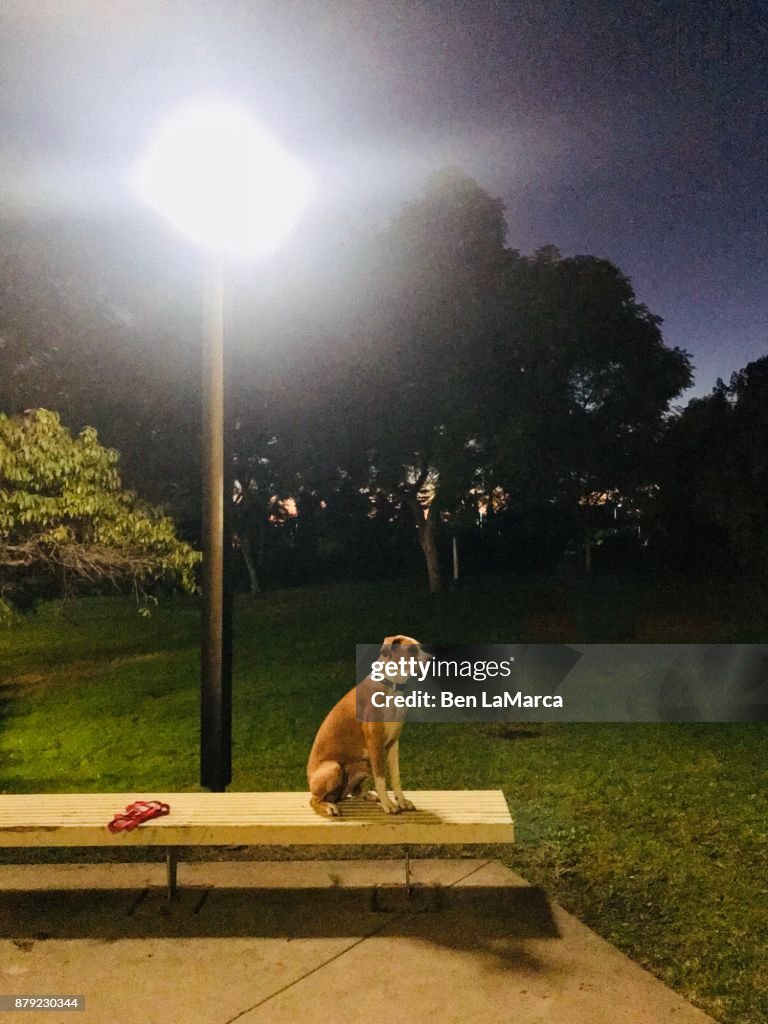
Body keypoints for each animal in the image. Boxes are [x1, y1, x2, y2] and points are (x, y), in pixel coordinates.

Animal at [307, 630, 430, 815]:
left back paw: (366, 795)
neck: (391, 687)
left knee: (353, 790)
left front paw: (401, 802)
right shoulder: (375, 744)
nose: (431, 658)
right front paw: (388, 805)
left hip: (363, 764)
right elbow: (381, 779)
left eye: (421, 647)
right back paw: (330, 806)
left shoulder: (393, 743)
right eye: (411, 650)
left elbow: (396, 778)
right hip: (333, 768)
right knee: (314, 799)